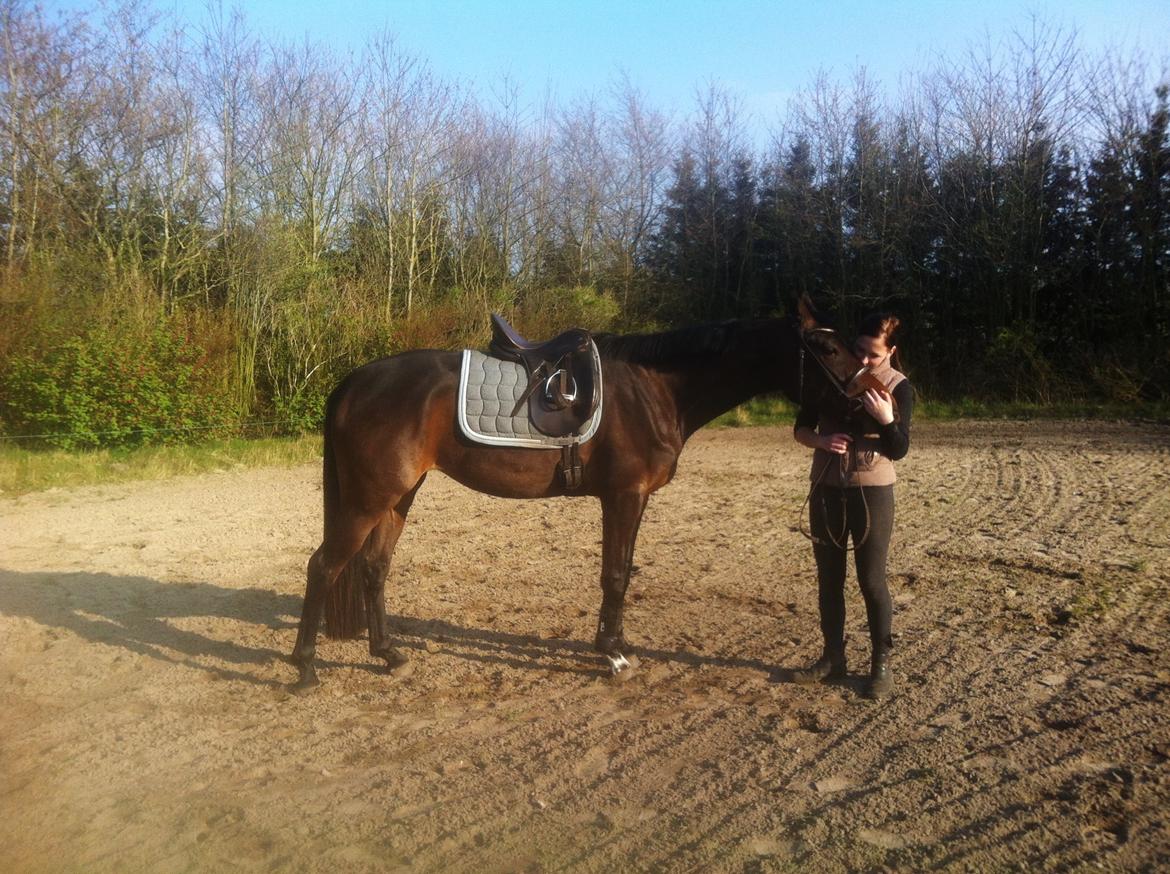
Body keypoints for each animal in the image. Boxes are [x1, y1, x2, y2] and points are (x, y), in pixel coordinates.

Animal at [290, 307, 835, 691]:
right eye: (825, 349)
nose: (859, 396)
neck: (653, 388)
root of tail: (353, 382)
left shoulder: (633, 500)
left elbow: (623, 571)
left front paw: (617, 644)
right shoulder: (623, 496)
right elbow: (614, 575)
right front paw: (613, 655)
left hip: (398, 496)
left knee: (373, 567)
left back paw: (389, 655)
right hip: (368, 500)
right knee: (324, 566)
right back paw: (305, 669)